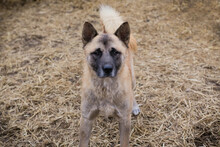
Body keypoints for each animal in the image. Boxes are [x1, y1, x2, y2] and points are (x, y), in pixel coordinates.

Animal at [80, 5, 140, 146]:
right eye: (96, 52)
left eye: (115, 52)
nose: (107, 69)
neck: (105, 88)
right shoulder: (86, 120)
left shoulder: (124, 120)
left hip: (132, 80)